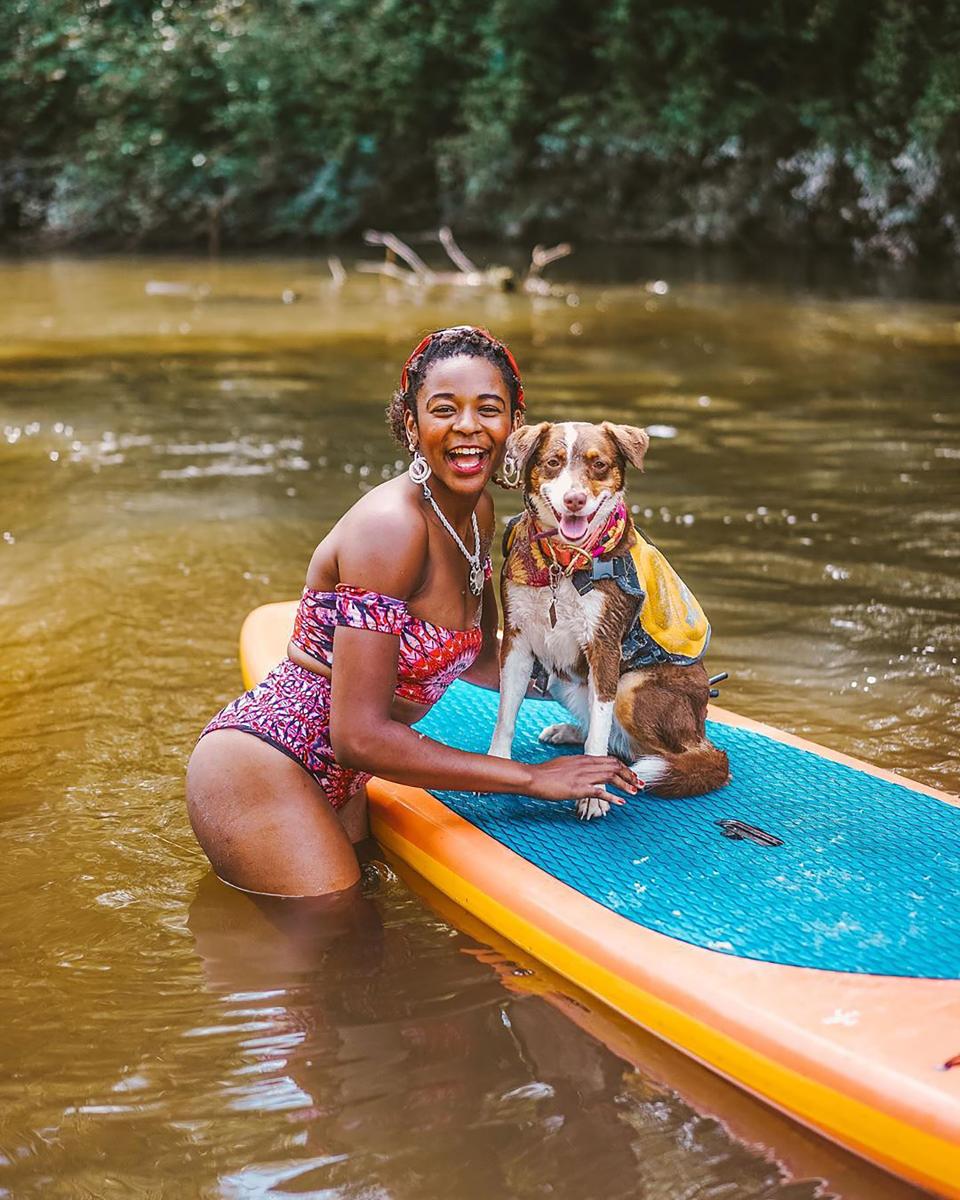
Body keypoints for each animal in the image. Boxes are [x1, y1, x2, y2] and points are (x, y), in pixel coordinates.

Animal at [492, 417, 729, 820]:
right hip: (559, 678)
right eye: (553, 462)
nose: (574, 500)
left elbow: (600, 730)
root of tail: (702, 733)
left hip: (632, 689)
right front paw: (497, 765)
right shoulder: (517, 641)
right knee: (618, 742)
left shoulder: (603, 647)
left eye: (599, 465)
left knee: (668, 755)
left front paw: (593, 794)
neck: (564, 563)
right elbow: (506, 716)